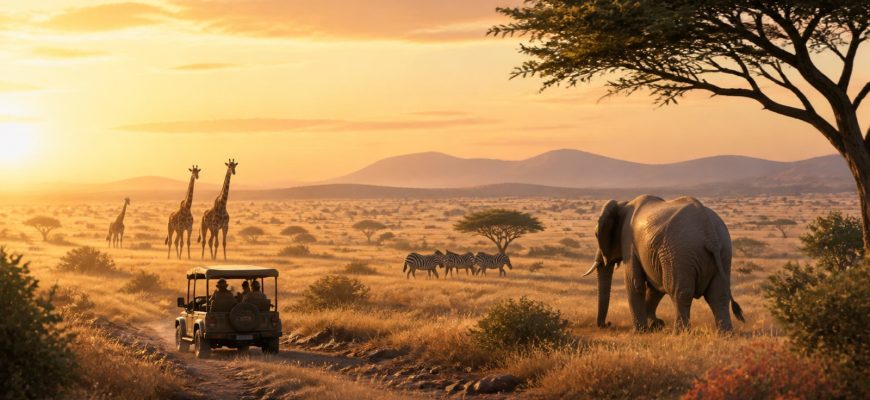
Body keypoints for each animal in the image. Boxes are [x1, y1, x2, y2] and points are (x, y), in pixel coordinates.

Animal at [583, 195, 744, 333]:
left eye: (596, 234)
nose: (607, 324)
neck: (624, 204)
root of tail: (709, 232)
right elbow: (656, 286)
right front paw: (656, 325)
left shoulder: (629, 241)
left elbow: (635, 283)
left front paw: (641, 332)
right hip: (723, 252)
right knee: (718, 295)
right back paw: (725, 334)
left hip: (680, 252)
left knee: (680, 293)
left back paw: (680, 334)